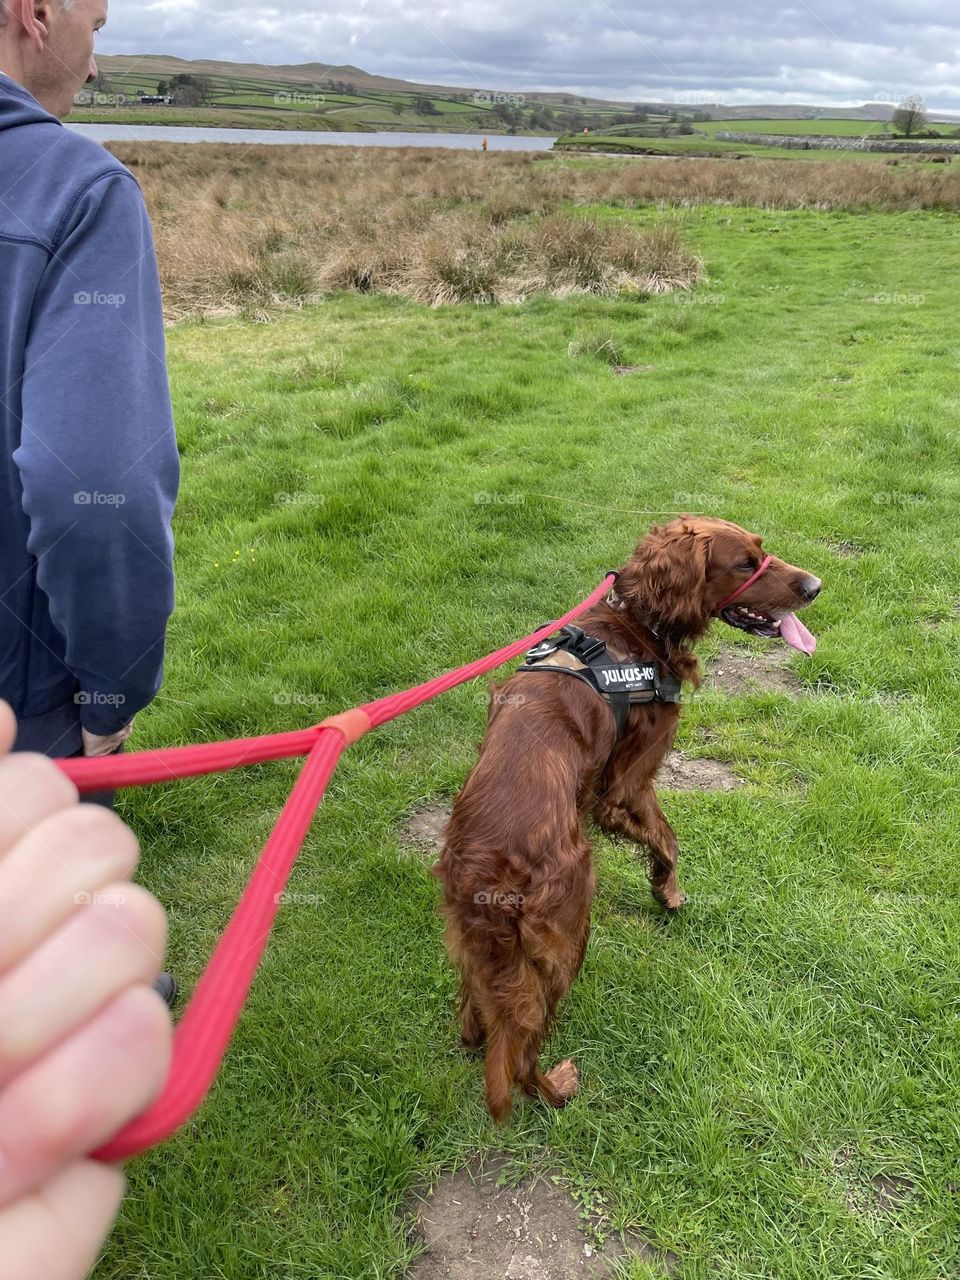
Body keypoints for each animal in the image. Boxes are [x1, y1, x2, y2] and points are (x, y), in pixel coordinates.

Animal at [435, 514, 819, 1116]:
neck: (636, 624)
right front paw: (669, 894)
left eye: (761, 550)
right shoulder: (627, 786)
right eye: (743, 563)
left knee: (477, 1020)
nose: (814, 587)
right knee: (522, 1046)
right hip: (567, 932)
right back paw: (558, 1089)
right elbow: (669, 840)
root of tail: (485, 866)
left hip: (485, 949)